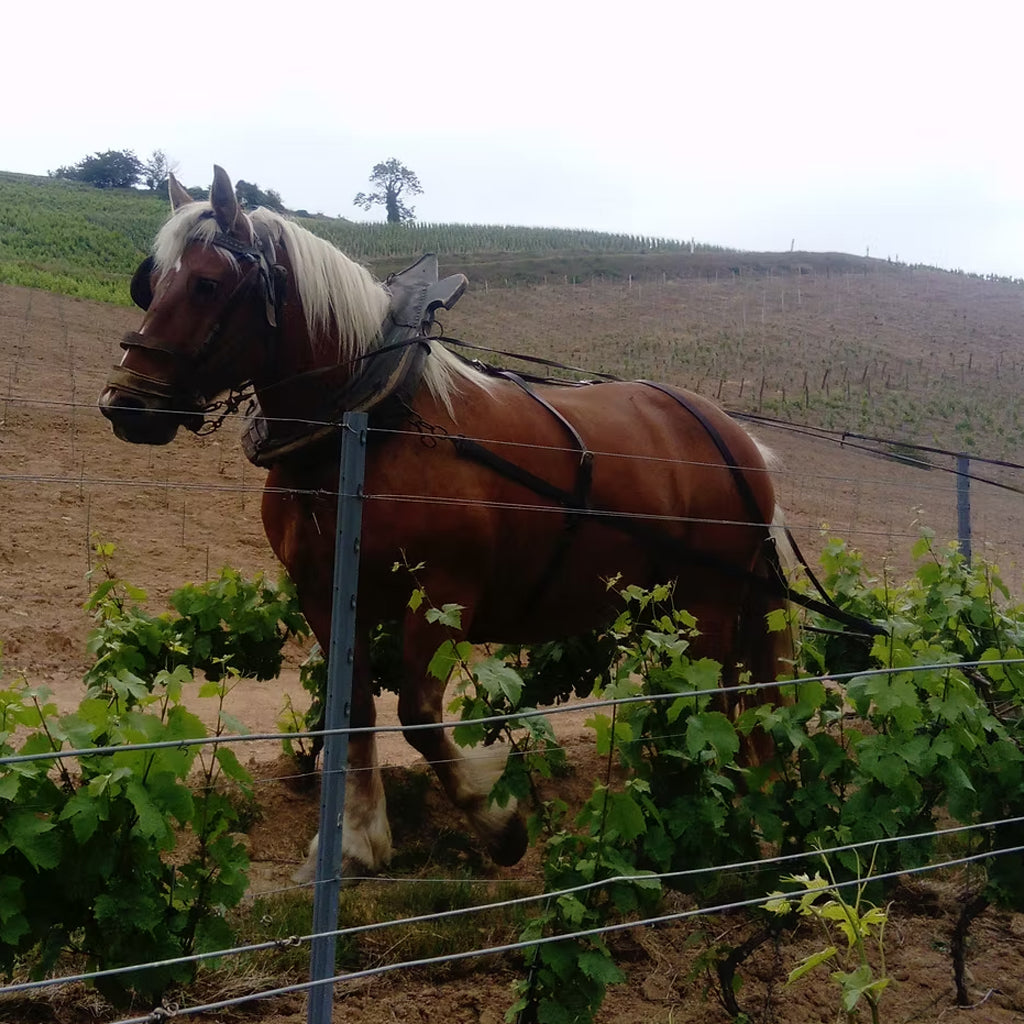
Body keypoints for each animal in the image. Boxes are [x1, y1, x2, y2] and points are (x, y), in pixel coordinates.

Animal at [98, 166, 791, 879]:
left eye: (208, 284)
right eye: (151, 282)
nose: (124, 404)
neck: (365, 425)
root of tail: (739, 439)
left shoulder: (439, 596)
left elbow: (419, 717)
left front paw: (497, 820)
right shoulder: (324, 593)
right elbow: (351, 708)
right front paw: (358, 840)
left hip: (708, 604)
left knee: (714, 702)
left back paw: (716, 821)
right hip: (670, 606)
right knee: (703, 697)